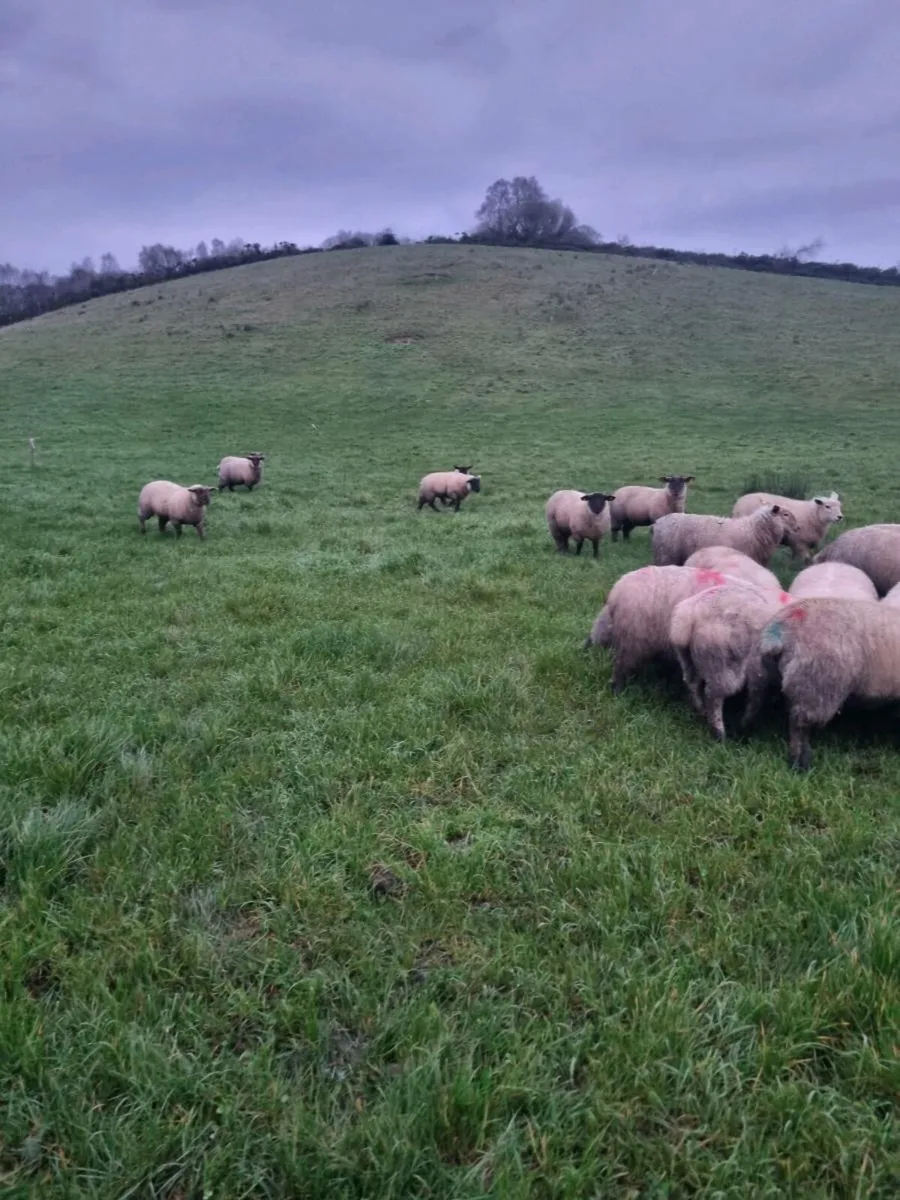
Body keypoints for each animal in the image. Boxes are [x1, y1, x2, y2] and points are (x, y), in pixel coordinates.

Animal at [669, 579, 792, 740]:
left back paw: (701, 711)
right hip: (721, 664)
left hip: (691, 658)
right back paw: (719, 733)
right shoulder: (759, 671)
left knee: (692, 682)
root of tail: (689, 613)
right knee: (713, 695)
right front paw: (745, 724)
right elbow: (756, 698)